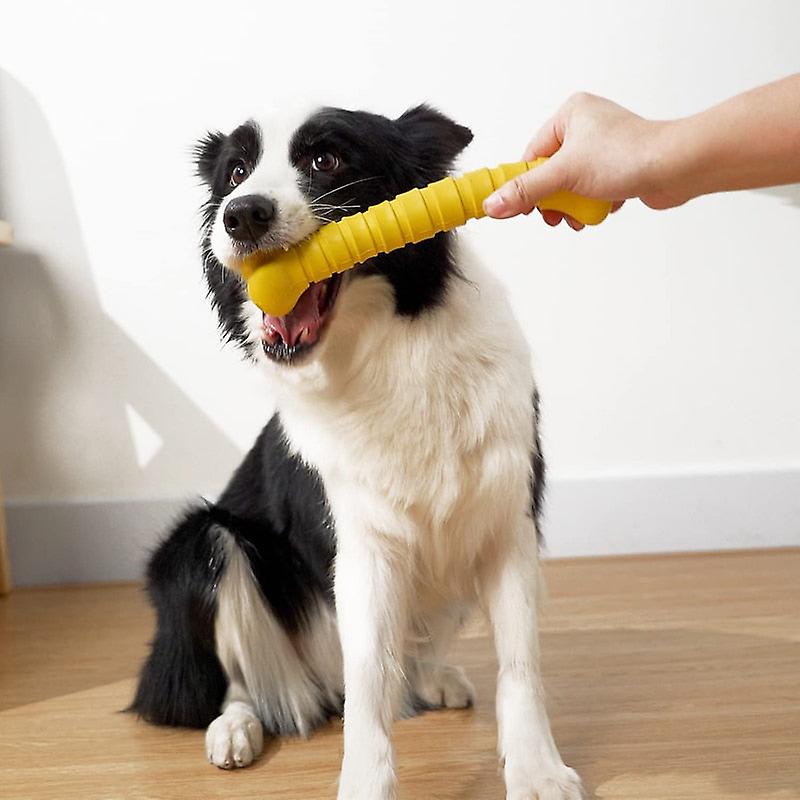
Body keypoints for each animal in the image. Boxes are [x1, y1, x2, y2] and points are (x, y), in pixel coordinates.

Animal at [130, 106, 580, 800]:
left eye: (327, 160)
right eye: (235, 172)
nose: (241, 214)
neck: (387, 354)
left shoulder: (507, 521)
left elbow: (521, 662)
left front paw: (537, 770)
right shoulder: (362, 544)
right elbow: (369, 680)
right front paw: (366, 783)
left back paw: (432, 679)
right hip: (198, 545)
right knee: (242, 681)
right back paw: (234, 730)